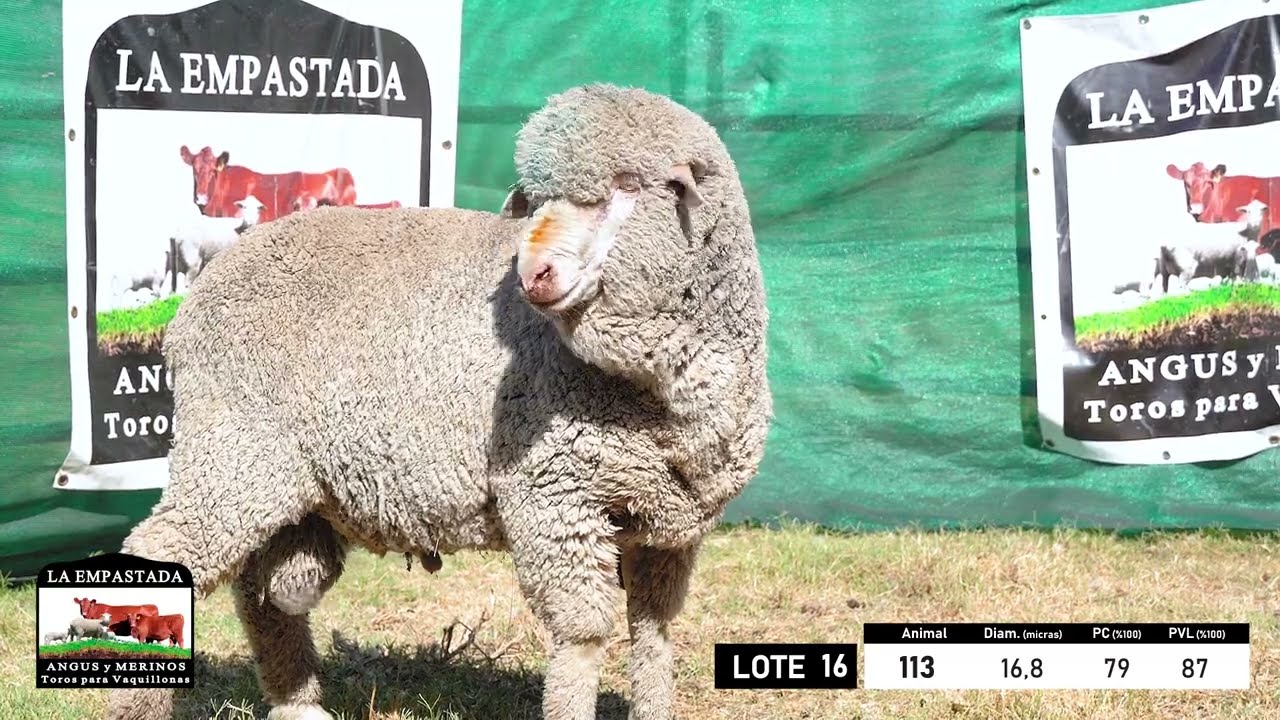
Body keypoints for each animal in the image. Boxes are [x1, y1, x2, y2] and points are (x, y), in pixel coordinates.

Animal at [104, 83, 771, 720]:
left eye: (628, 185)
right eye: (535, 199)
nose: (532, 274)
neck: (657, 392)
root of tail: (209, 281)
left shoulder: (671, 527)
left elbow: (654, 633)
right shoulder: (553, 496)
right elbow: (583, 634)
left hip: (287, 485)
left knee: (265, 591)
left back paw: (298, 702)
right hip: (233, 451)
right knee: (164, 552)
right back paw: (140, 710)